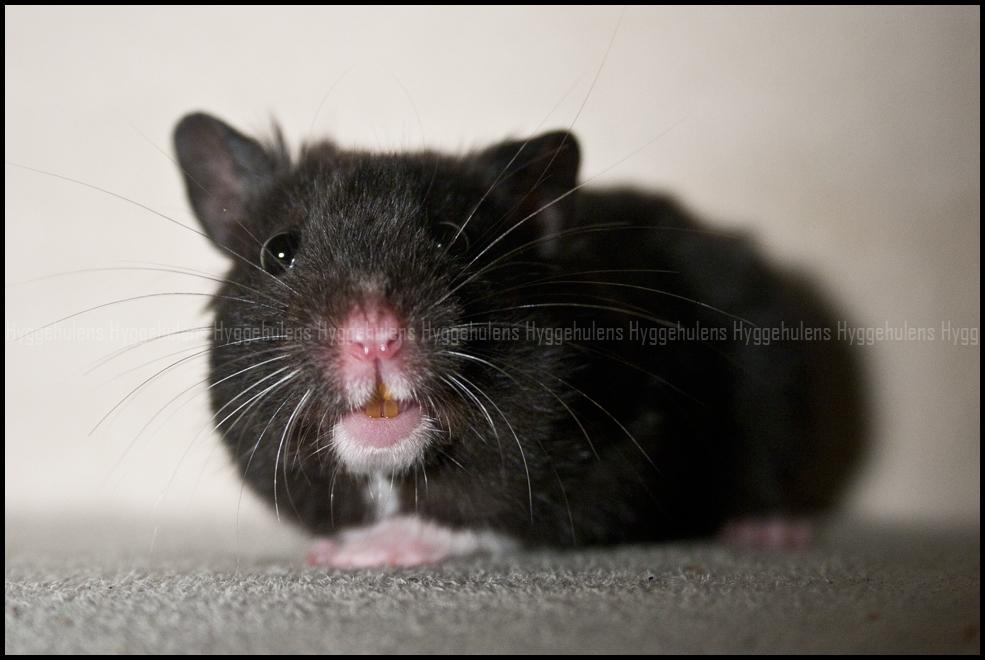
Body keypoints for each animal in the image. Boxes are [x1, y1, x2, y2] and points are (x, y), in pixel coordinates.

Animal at [172, 112, 866, 567]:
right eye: (279, 251)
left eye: (454, 240)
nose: (374, 338)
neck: (392, 474)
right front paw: (328, 549)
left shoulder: (622, 455)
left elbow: (496, 517)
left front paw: (355, 554)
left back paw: (768, 533)